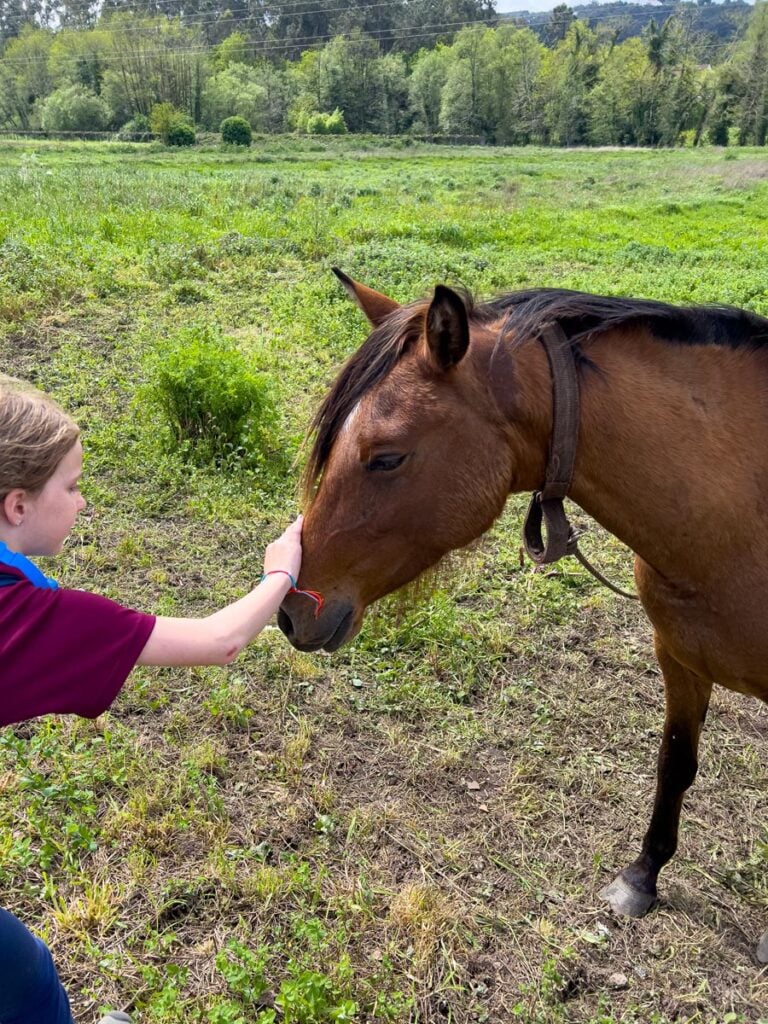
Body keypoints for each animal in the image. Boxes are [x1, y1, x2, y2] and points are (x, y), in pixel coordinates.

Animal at [277, 268, 768, 961]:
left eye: (387, 457)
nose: (293, 611)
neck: (737, 512)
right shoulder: (679, 658)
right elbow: (675, 764)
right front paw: (641, 877)